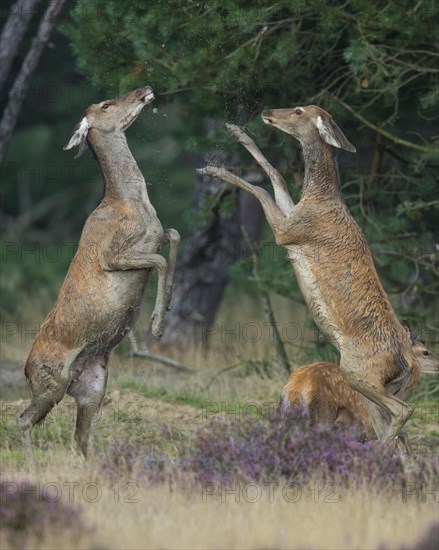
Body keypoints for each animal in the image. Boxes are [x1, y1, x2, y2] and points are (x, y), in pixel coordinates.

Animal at [16, 87, 180, 466]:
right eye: (106, 104)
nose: (145, 90)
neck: (133, 205)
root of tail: (26, 369)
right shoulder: (111, 254)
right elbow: (159, 260)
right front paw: (155, 324)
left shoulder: (157, 234)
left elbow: (174, 236)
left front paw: (165, 309)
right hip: (50, 384)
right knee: (23, 419)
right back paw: (32, 464)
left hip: (94, 388)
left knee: (81, 437)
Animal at [201, 105, 424, 460]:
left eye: (298, 110)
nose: (267, 112)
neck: (319, 199)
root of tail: (410, 362)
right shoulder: (293, 218)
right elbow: (277, 177)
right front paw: (236, 131)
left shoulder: (289, 231)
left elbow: (262, 189)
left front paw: (213, 169)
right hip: (381, 385)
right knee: (394, 425)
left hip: (357, 370)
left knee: (403, 411)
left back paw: (373, 454)